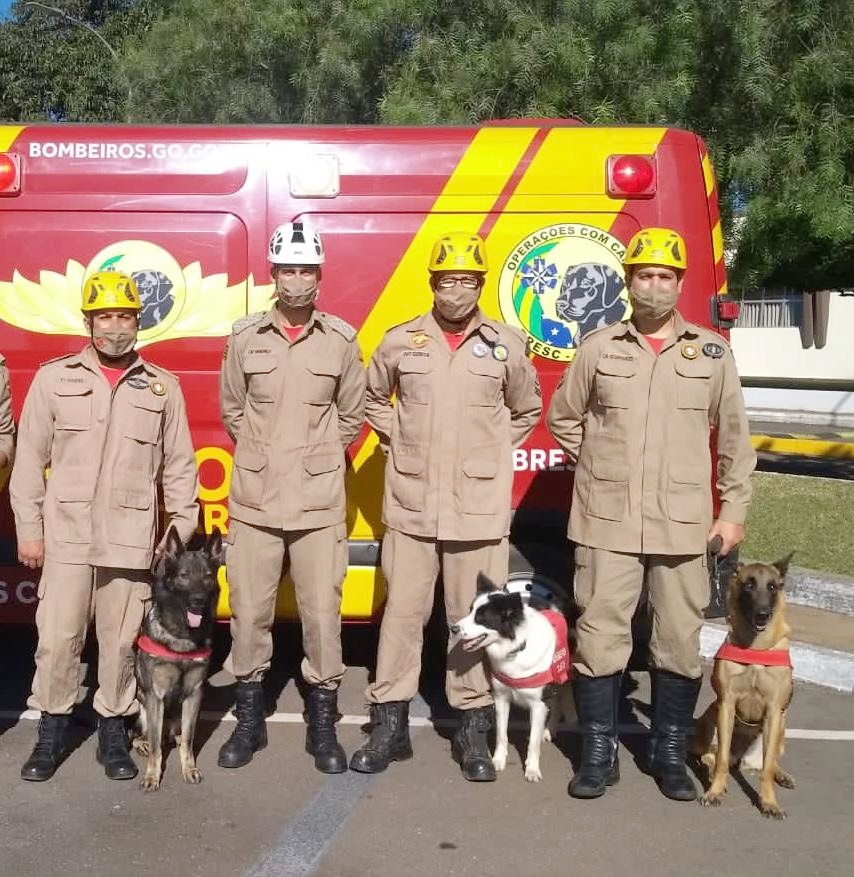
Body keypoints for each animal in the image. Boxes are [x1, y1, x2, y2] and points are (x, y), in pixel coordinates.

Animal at [133, 524, 221, 792]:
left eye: (207, 576)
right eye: (183, 575)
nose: (198, 601)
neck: (183, 636)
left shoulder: (194, 694)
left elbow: (190, 740)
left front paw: (189, 768)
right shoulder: (155, 695)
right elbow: (155, 748)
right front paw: (152, 775)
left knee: (179, 736)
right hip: (140, 705)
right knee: (142, 736)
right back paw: (143, 743)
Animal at [696, 556, 796, 816]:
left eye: (772, 586)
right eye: (749, 585)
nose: (762, 614)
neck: (756, 647)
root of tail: (740, 759)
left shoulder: (774, 709)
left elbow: (767, 769)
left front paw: (769, 802)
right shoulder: (727, 704)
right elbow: (720, 760)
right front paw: (714, 791)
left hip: (781, 725)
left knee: (770, 762)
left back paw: (782, 775)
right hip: (712, 716)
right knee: (712, 757)